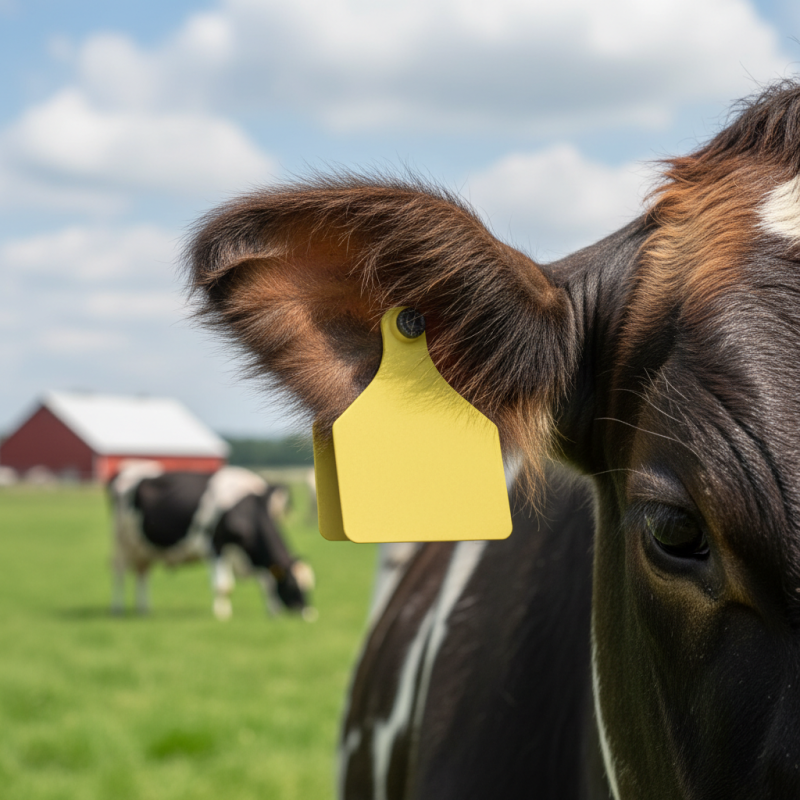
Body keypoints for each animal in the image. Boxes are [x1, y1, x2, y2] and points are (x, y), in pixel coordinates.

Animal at [109, 461, 315, 621]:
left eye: (308, 585)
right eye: (292, 585)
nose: (308, 614)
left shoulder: (246, 554)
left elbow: (266, 580)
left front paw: (273, 611)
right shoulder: (216, 546)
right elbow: (224, 586)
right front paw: (222, 615)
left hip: (142, 546)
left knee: (142, 573)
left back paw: (143, 609)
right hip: (121, 540)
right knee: (119, 571)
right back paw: (117, 609)